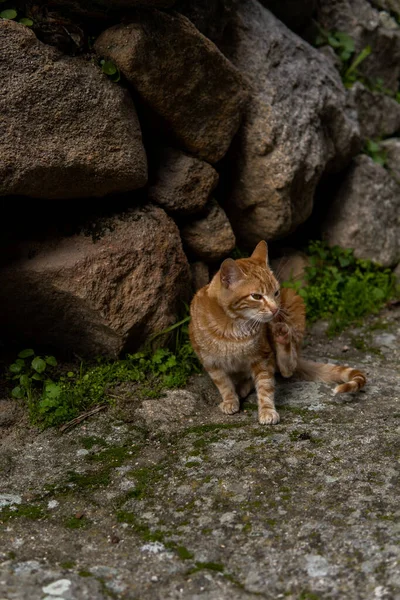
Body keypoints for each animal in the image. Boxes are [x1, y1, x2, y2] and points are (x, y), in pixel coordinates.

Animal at [189, 241, 368, 424]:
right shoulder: (210, 362)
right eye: (256, 296)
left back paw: (281, 338)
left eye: (275, 293)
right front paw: (230, 400)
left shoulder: (263, 357)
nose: (275, 309)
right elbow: (223, 384)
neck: (232, 328)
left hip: (292, 303)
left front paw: (267, 410)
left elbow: (265, 386)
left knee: (288, 367)